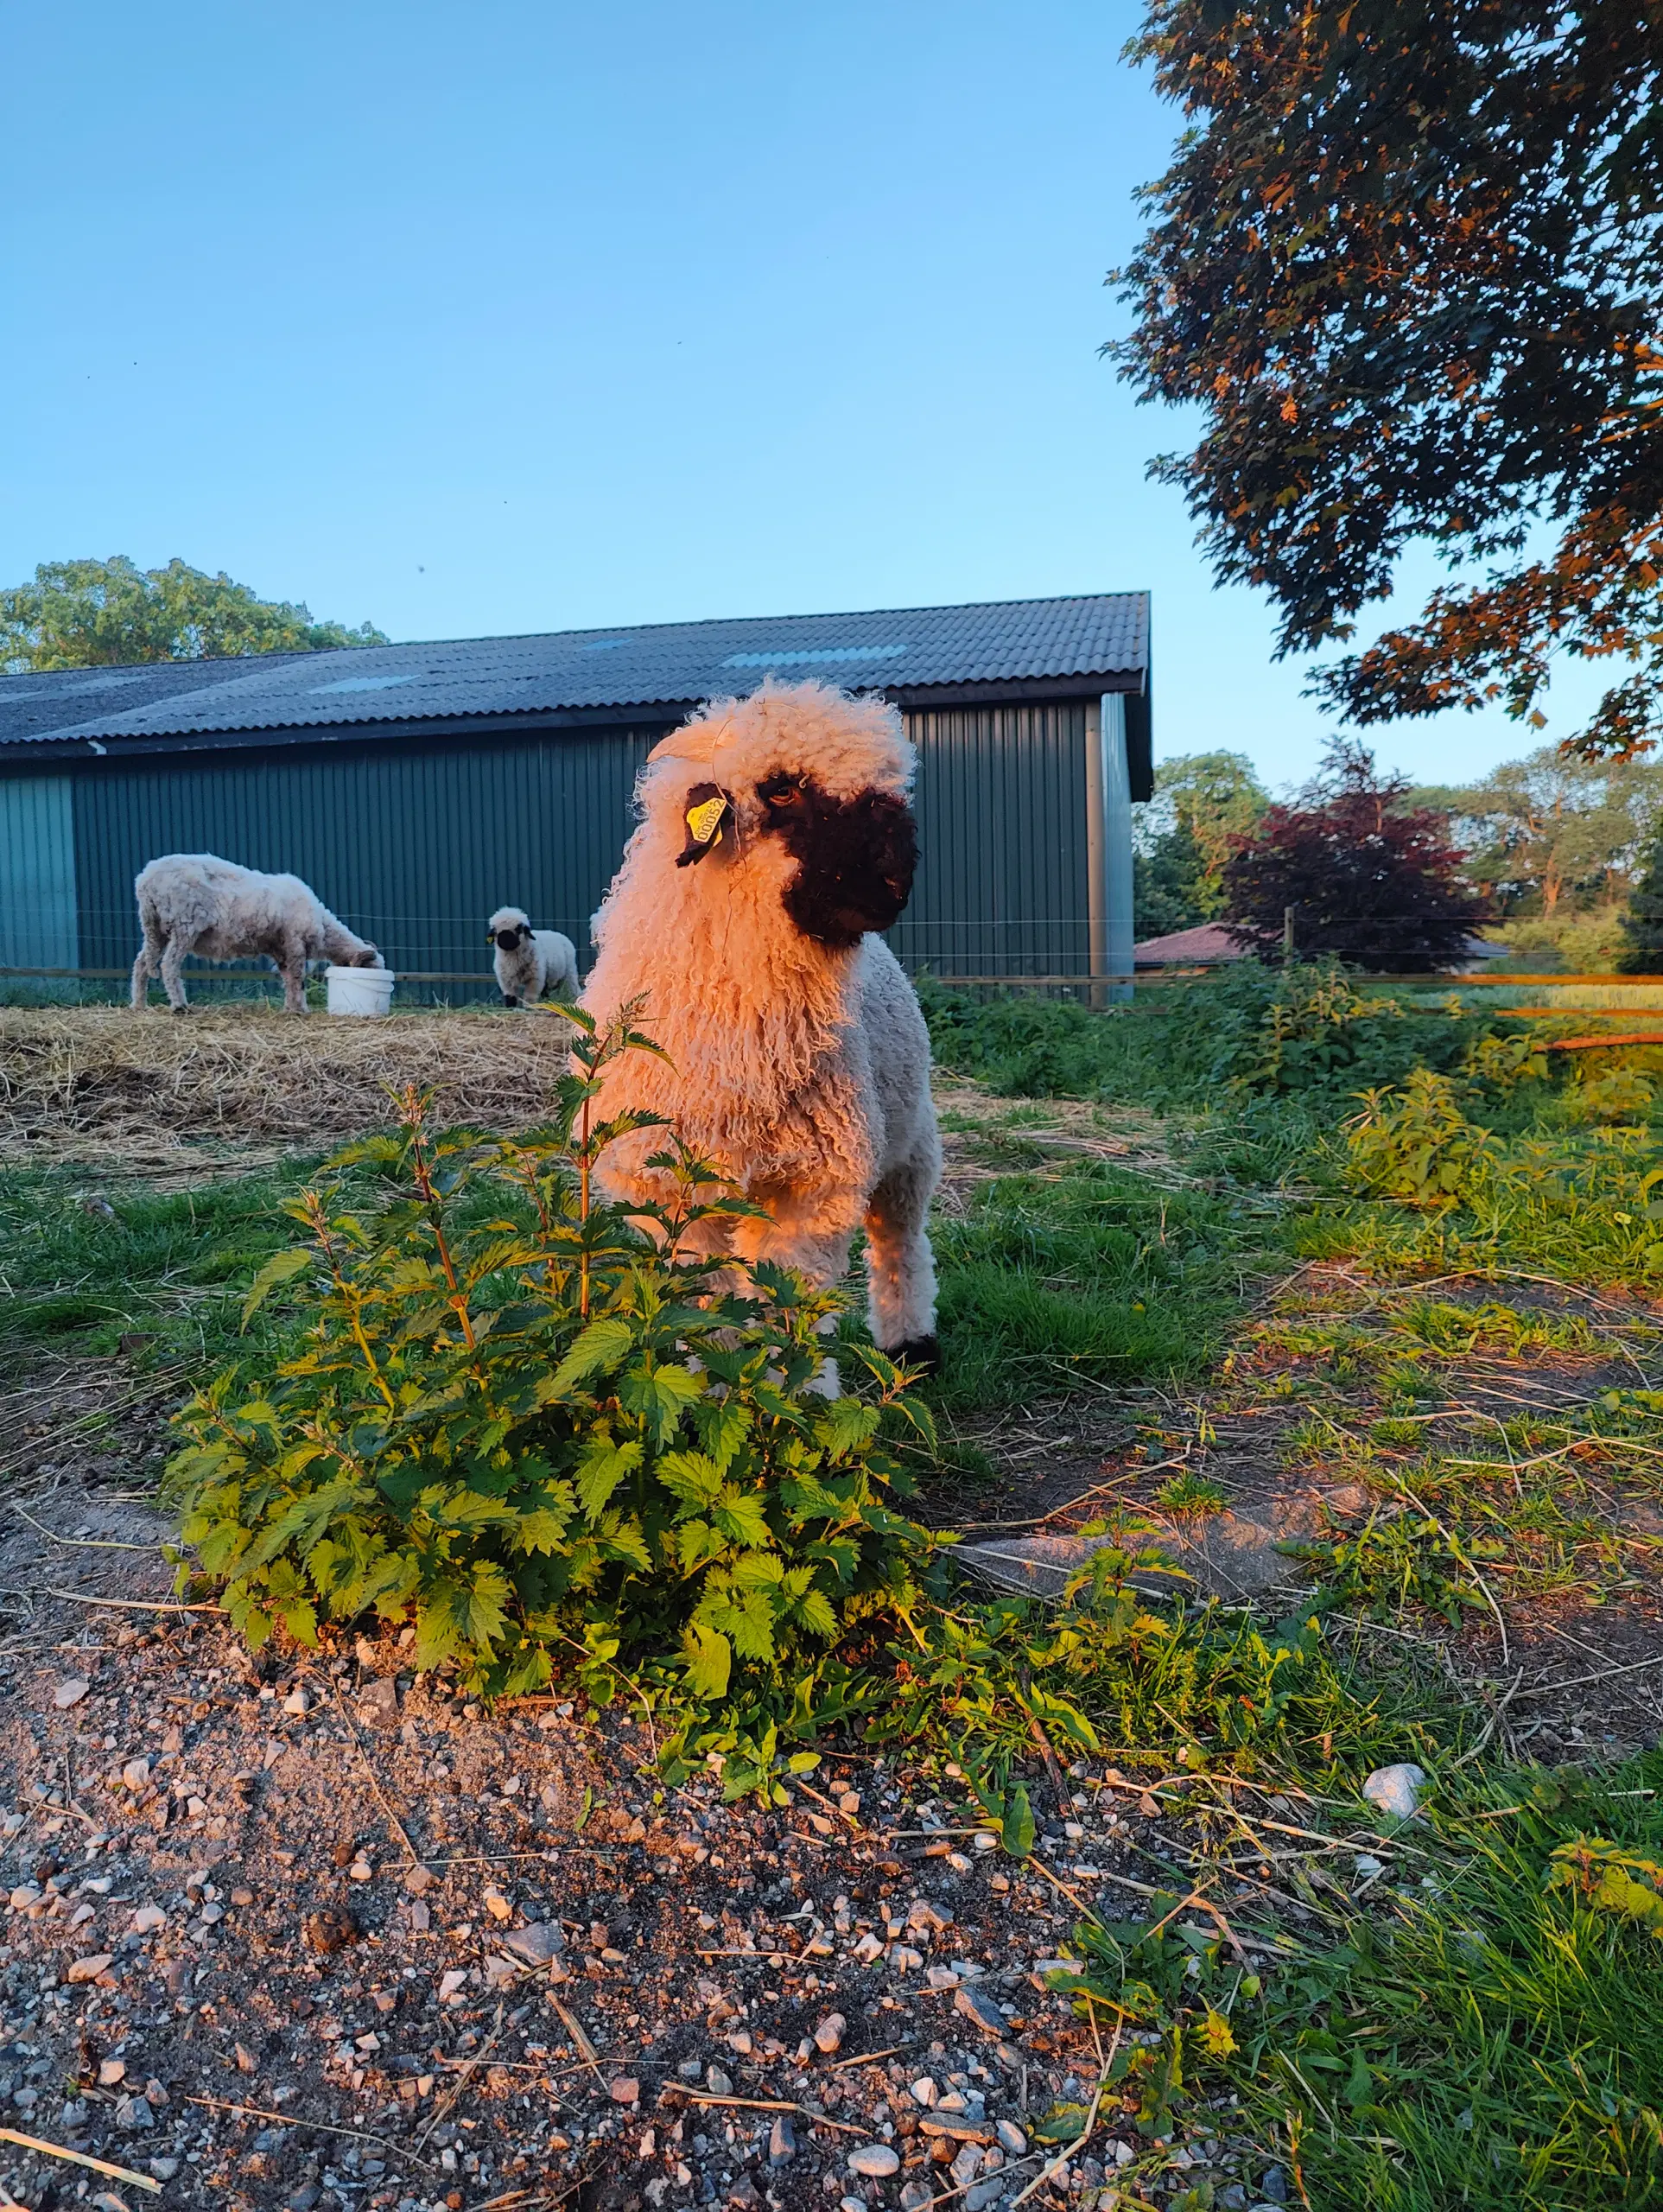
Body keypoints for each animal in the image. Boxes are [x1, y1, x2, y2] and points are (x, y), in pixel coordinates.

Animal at [128, 849, 382, 1013]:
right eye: (370, 968)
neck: (323, 926)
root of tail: (145, 879)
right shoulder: (294, 941)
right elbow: (297, 977)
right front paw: (300, 1008)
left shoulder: (280, 948)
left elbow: (287, 977)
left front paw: (291, 1007)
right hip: (184, 925)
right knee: (168, 965)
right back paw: (180, 1005)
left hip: (154, 928)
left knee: (141, 963)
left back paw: (139, 1005)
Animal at [579, 677, 937, 1362]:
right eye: (782, 788)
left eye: (890, 790)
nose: (895, 883)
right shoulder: (668, 1188)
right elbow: (705, 1304)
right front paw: (713, 1372)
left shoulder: (815, 1184)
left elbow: (787, 1303)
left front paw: (793, 1380)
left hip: (911, 1140)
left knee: (900, 1239)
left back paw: (911, 1344)